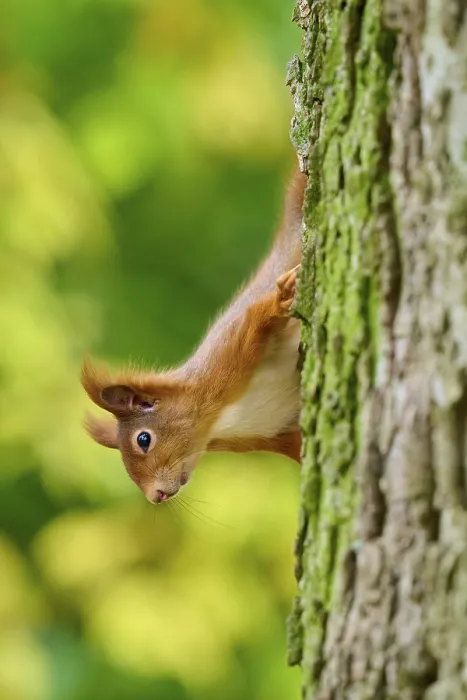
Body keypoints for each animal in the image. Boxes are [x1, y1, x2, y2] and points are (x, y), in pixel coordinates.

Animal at [82, 167, 306, 504]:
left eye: (143, 439)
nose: (155, 497)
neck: (217, 422)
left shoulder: (231, 352)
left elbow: (258, 319)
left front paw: (281, 300)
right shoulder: (273, 434)